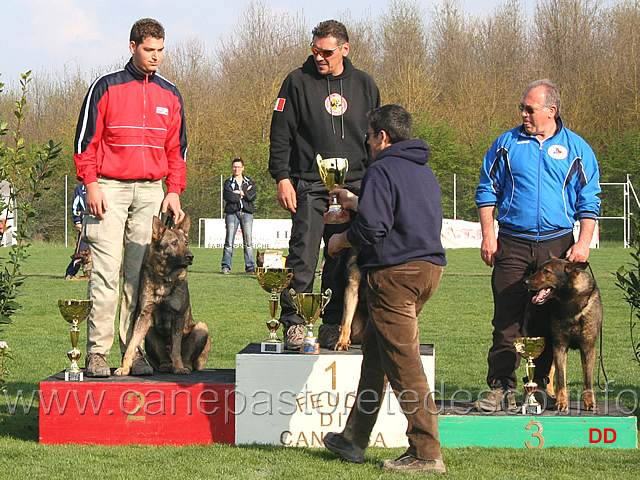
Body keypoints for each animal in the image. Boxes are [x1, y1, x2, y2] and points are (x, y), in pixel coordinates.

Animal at [115, 216, 212, 376]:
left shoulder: (178, 317)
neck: (165, 278)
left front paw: (179, 368)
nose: (190, 256)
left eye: (186, 243)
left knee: (185, 356)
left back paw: (185, 366)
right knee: (164, 357)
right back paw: (166, 364)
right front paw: (125, 367)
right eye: (174, 243)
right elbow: (132, 344)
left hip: (201, 327)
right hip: (150, 331)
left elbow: (176, 349)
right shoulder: (144, 315)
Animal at [524, 258, 604, 412]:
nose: (525, 281)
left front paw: (589, 402)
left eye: (546, 271)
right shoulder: (560, 346)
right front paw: (561, 403)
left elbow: (588, 379)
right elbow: (561, 379)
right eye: (538, 269)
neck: (569, 305)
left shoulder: (588, 348)